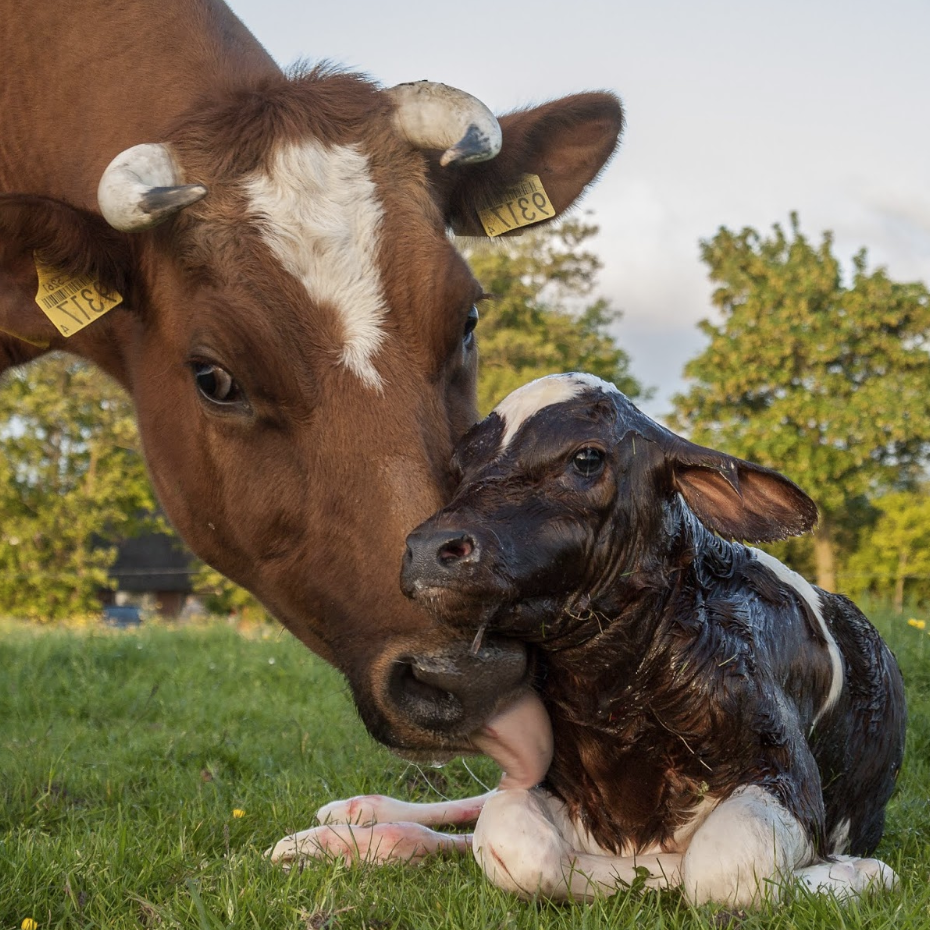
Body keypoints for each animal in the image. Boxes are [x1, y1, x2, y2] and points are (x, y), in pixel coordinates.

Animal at [270, 372, 908, 908]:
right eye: (460, 467)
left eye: (586, 457)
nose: (428, 548)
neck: (613, 693)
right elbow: (511, 842)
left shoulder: (784, 772)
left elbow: (719, 870)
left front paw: (856, 872)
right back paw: (348, 823)